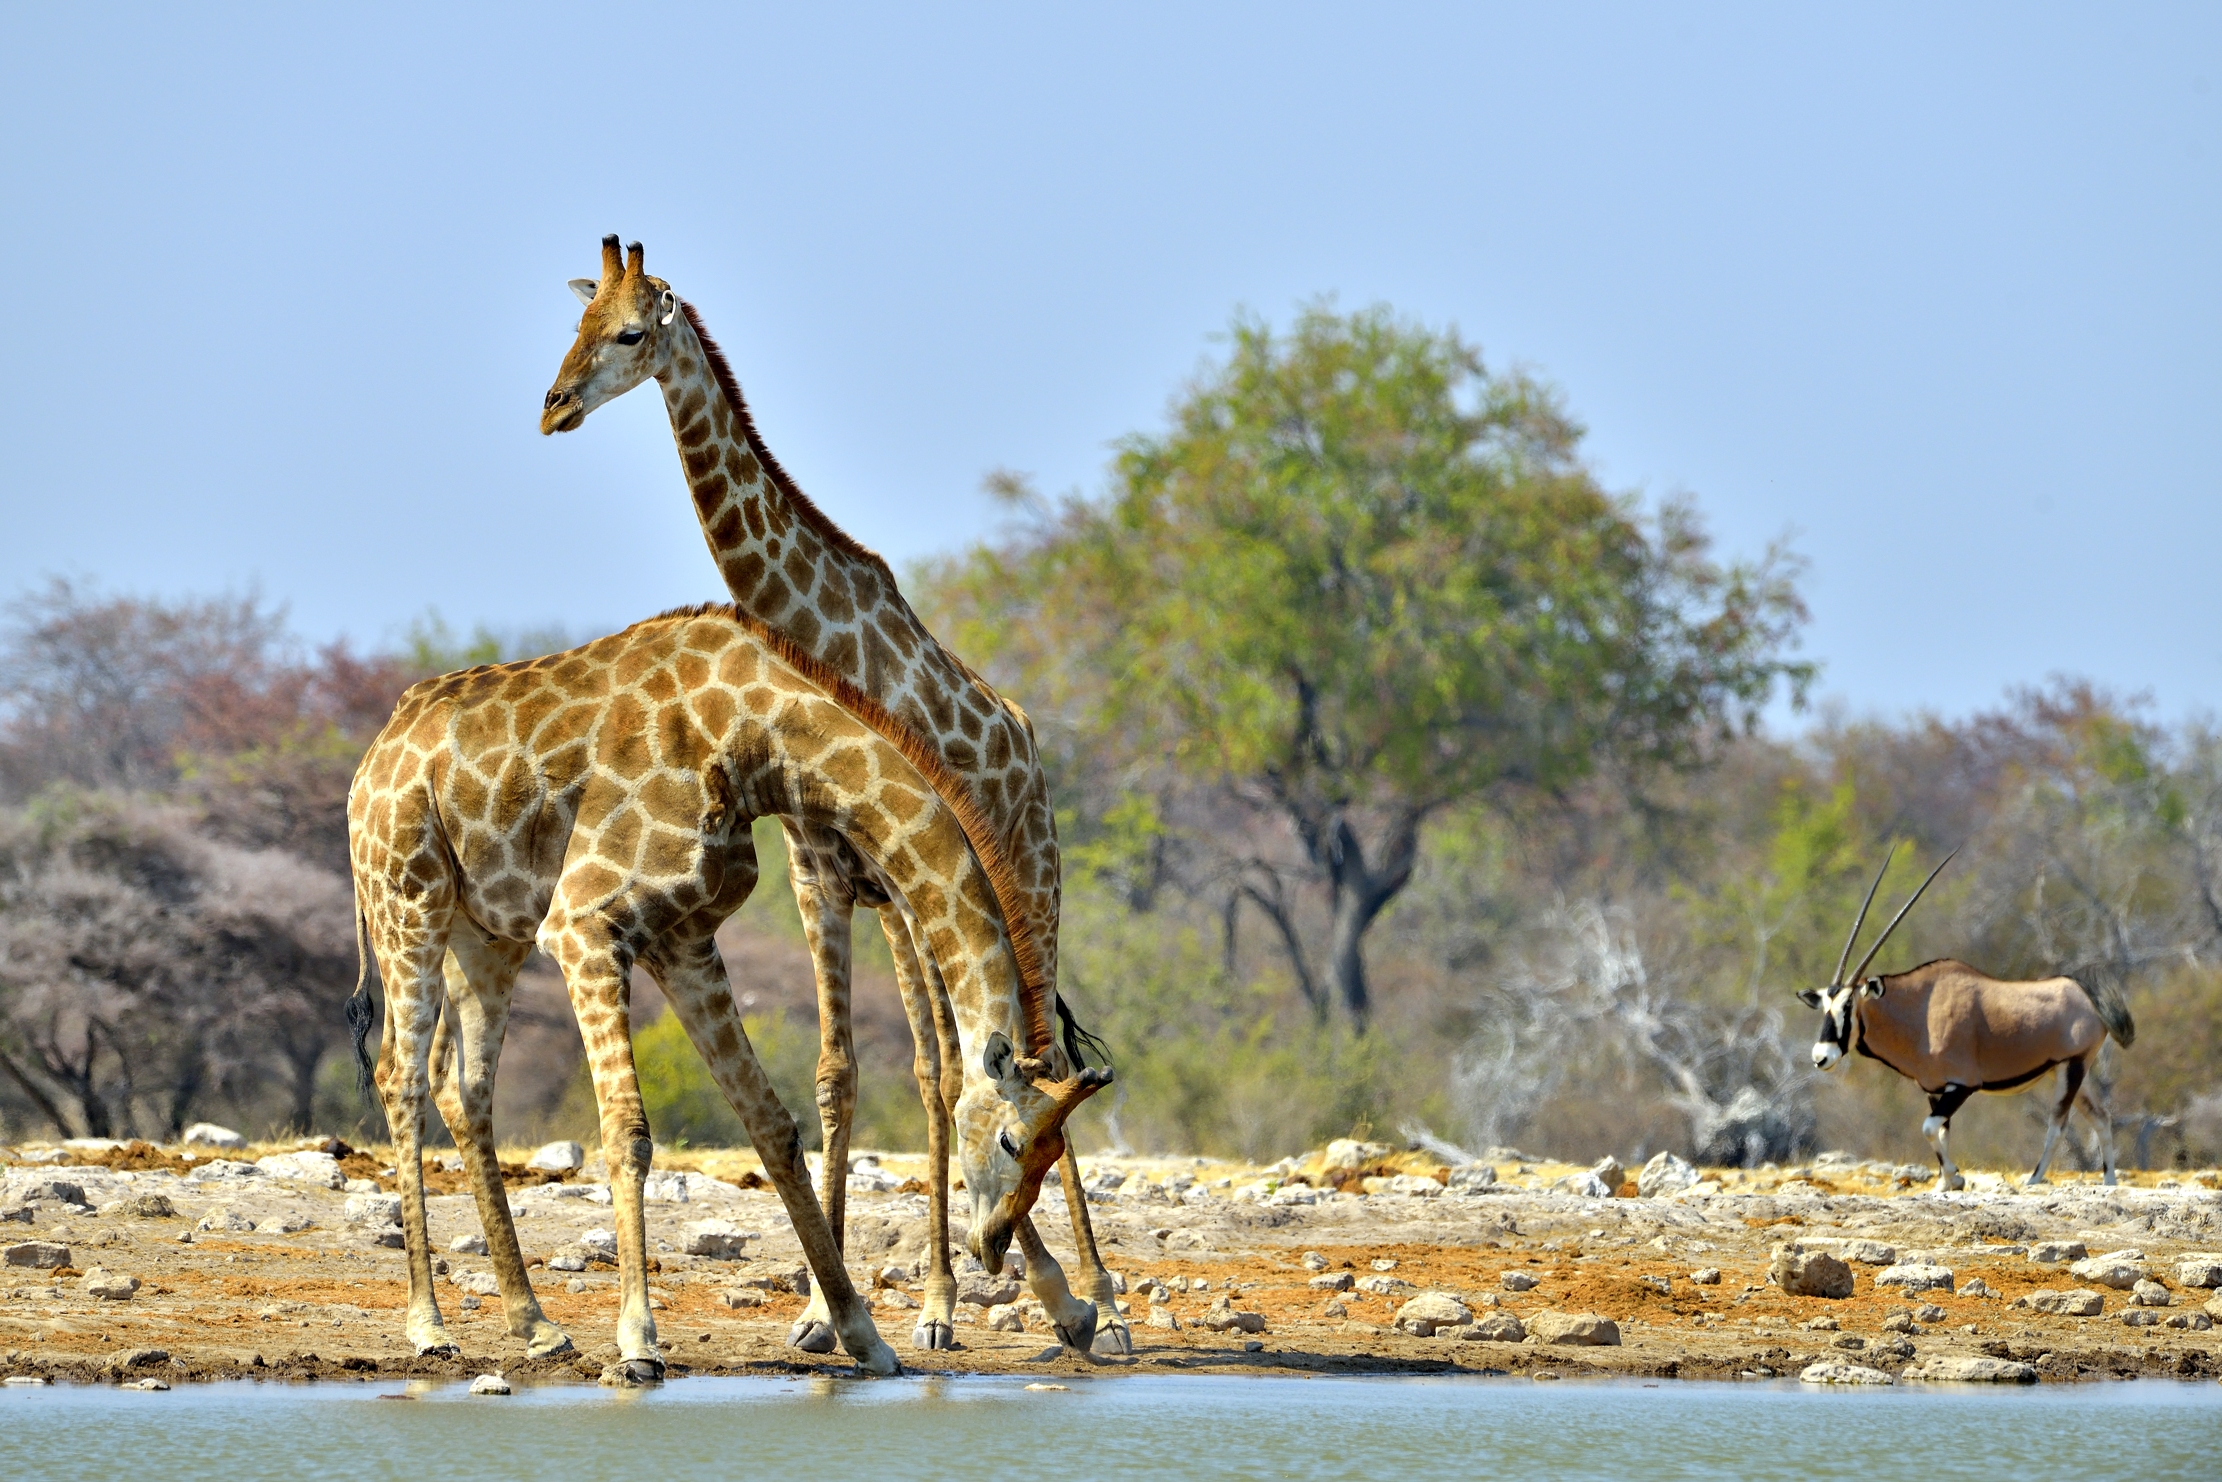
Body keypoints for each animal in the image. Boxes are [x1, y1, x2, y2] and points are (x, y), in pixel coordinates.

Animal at [346, 604, 1109, 1383]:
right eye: (1014, 1140)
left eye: (1052, 1151)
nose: (991, 1244)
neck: (755, 742)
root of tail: (376, 753)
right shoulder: (585, 926)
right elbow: (628, 1131)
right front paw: (638, 1342)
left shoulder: (683, 940)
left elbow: (772, 1126)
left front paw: (862, 1334)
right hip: (410, 900)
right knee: (401, 1076)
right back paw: (429, 1327)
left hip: (487, 936)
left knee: (464, 1088)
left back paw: (536, 1326)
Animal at [540, 237, 1133, 1355]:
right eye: (577, 325)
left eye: (631, 333)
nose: (553, 408)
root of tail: (1021, 734)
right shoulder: (825, 869)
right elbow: (846, 1073)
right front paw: (826, 1311)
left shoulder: (913, 874)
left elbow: (957, 1081)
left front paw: (979, 1295)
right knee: (986, 1062)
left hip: (1028, 877)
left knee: (1036, 1053)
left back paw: (1097, 1302)